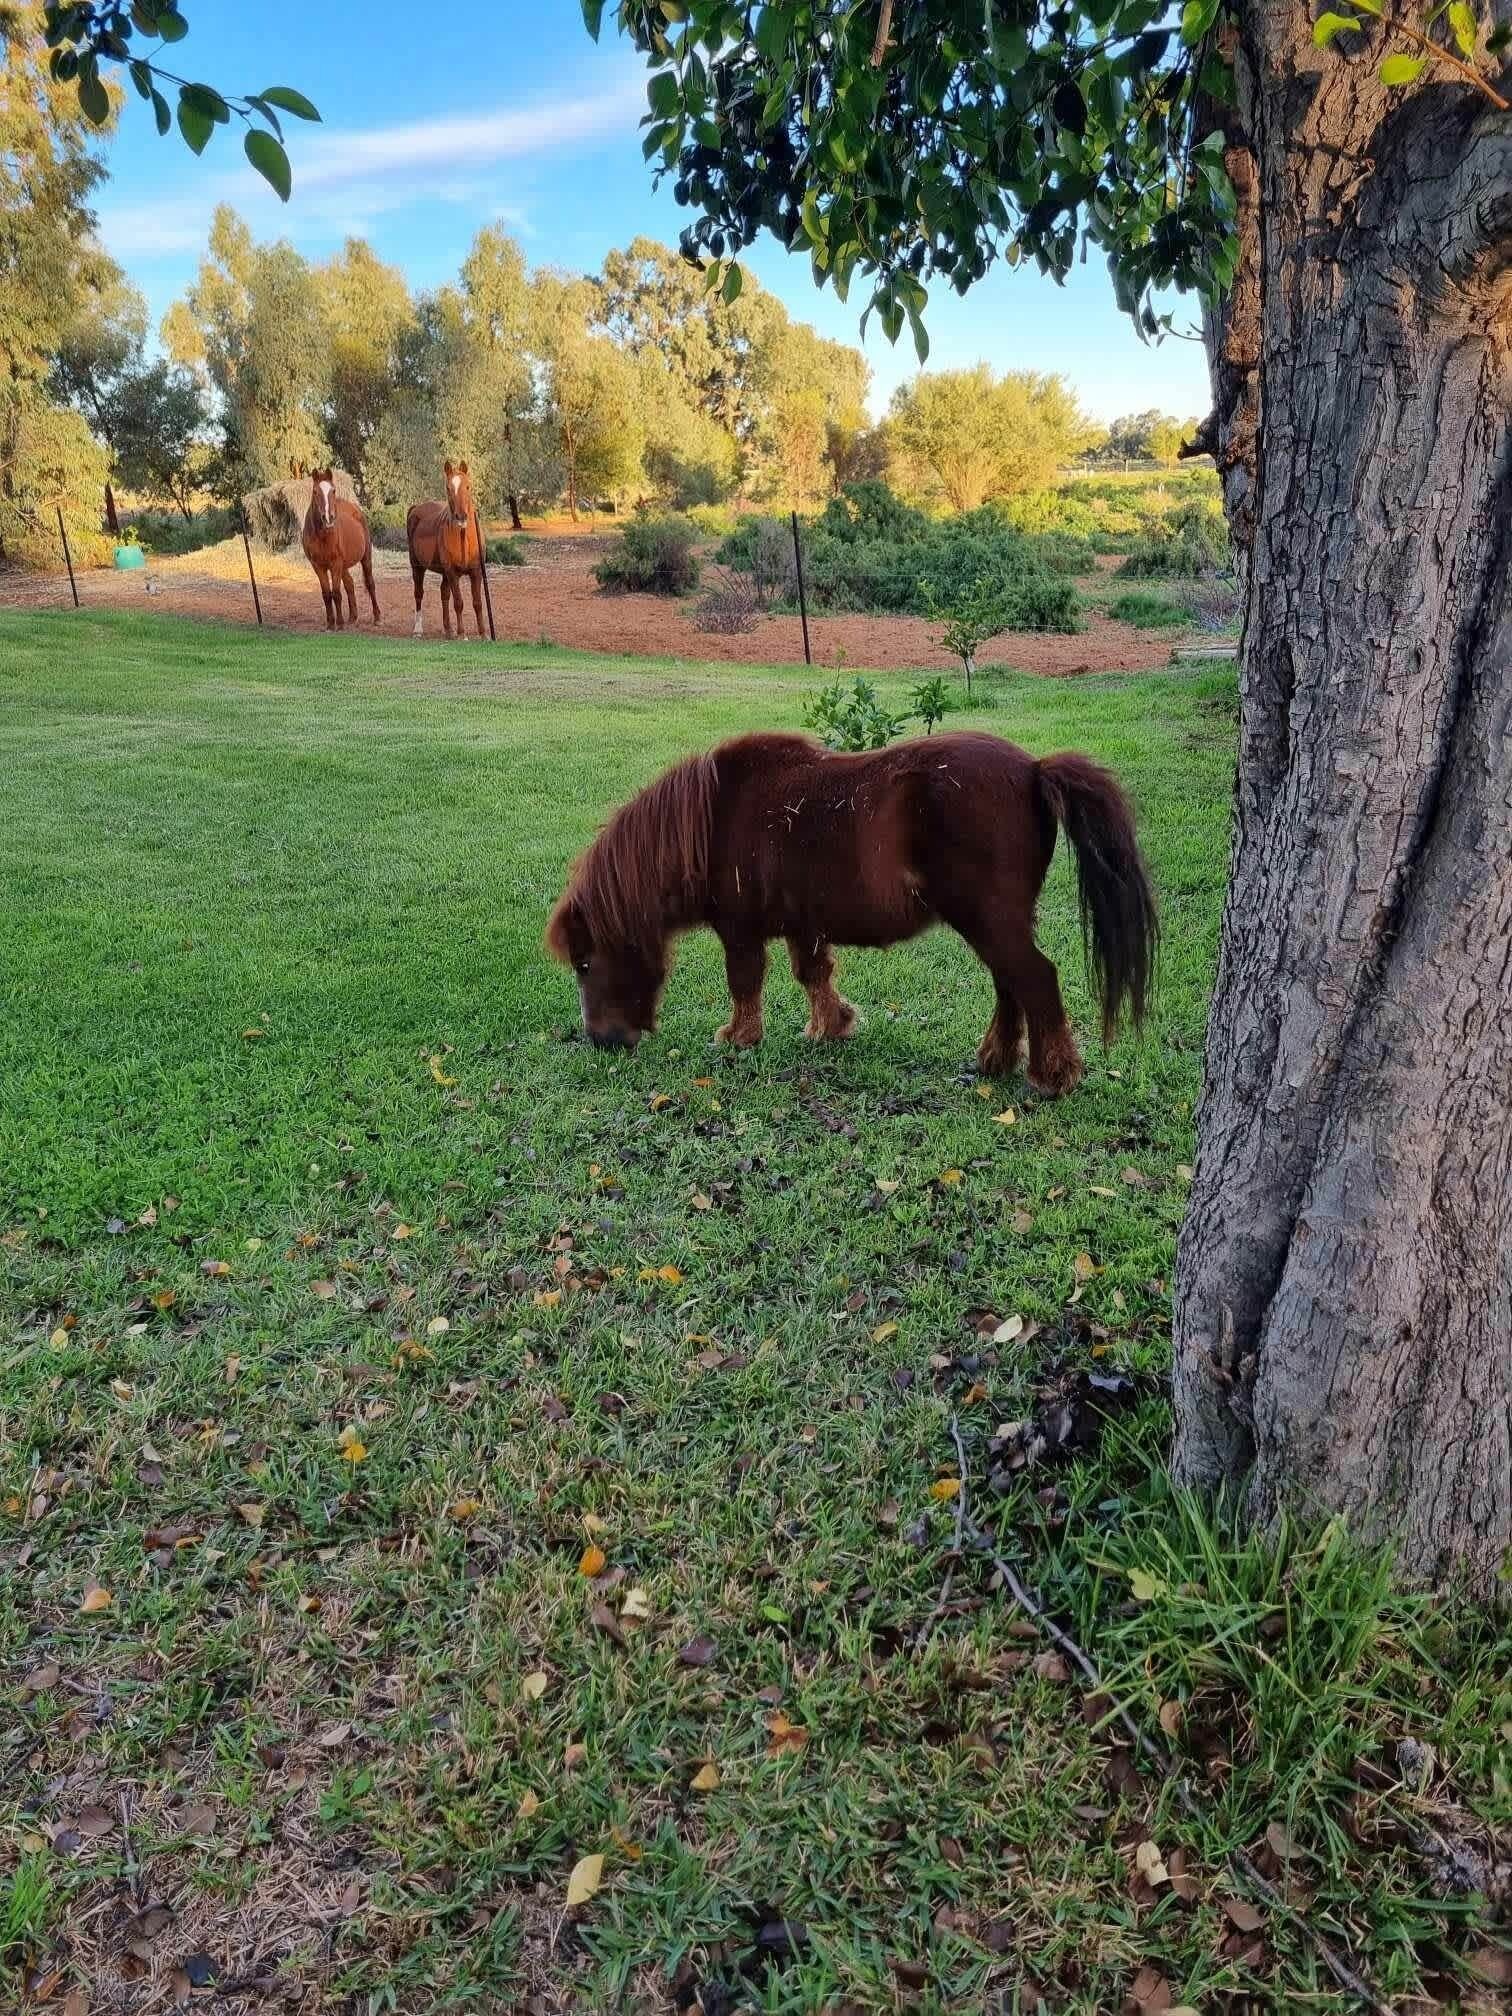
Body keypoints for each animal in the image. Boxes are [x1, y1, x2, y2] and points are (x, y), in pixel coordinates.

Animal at [300, 469, 380, 631]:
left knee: (370, 584)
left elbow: (336, 593)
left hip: (365, 558)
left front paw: (340, 623)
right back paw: (353, 617)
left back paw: (377, 618)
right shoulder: (318, 566)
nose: (328, 518)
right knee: (349, 584)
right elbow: (326, 594)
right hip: (343, 566)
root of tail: (356, 510)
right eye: (315, 491)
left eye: (333, 490)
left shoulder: (335, 564)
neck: (322, 535)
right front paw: (331, 623)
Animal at [406, 460, 485, 640]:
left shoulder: (476, 571)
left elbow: (477, 603)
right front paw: (462, 634)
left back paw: (448, 630)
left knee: (444, 594)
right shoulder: (452, 572)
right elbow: (458, 602)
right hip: (417, 567)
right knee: (419, 594)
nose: (461, 516)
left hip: (443, 573)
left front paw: (484, 635)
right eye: (448, 488)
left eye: (468, 486)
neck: (464, 538)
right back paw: (418, 630)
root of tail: (416, 509)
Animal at [546, 730, 1157, 1096]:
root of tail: (1033, 768)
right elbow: (813, 975)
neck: (713, 820)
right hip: (995, 923)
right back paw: (996, 1060)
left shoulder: (740, 931)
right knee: (1011, 984)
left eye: (585, 964)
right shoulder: (804, 926)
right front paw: (830, 1027)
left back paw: (1052, 1075)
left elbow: (745, 982)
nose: (601, 1040)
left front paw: (739, 1037)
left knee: (1034, 979)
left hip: (989, 920)